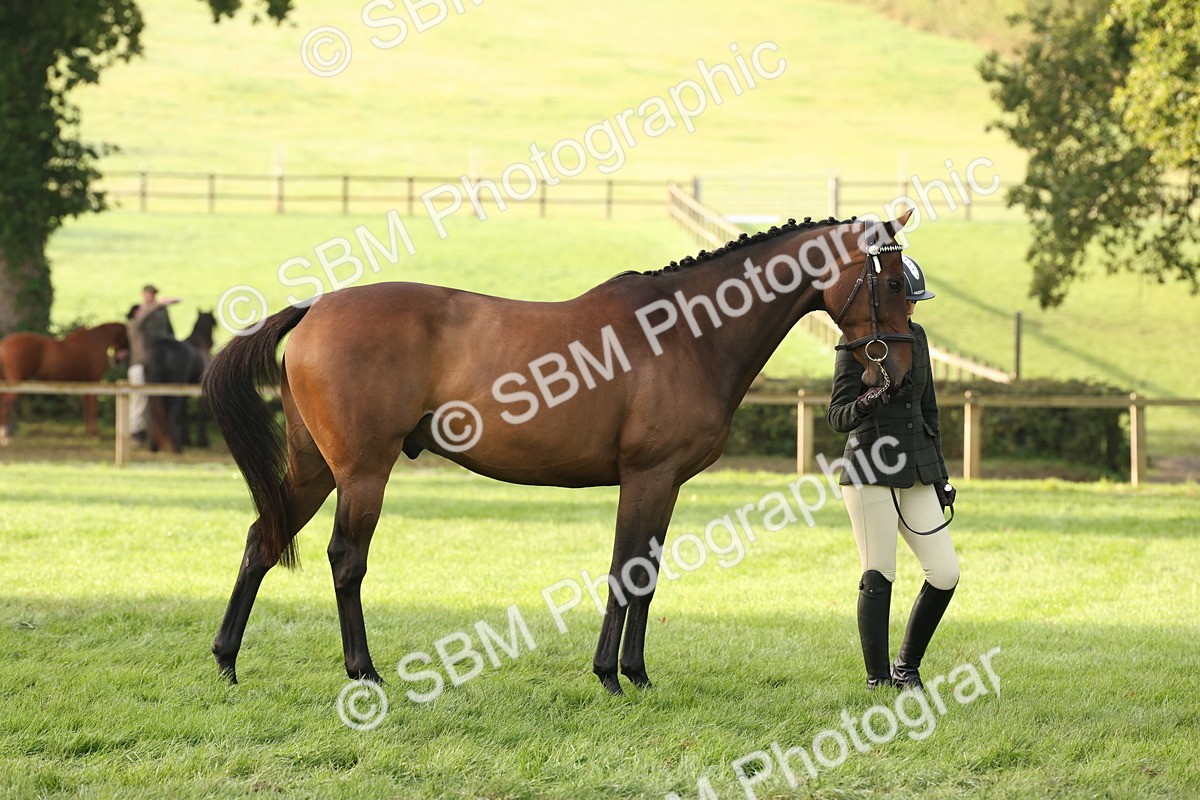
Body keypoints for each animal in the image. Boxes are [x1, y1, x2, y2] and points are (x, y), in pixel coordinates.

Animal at [0, 322, 129, 445]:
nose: (119, 360)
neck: (97, 341)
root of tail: (3, 345)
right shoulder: (94, 382)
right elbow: (92, 408)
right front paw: (94, 434)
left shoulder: (85, 385)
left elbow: (87, 408)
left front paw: (89, 433)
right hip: (15, 384)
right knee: (5, 405)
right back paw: (5, 437)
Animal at [145, 310, 216, 453]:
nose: (213, 342)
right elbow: (198, 413)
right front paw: (201, 442)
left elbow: (185, 413)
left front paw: (187, 440)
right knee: (174, 412)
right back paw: (176, 447)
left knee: (152, 412)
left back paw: (154, 445)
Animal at [203, 212, 916, 693]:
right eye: (888, 281)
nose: (902, 372)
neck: (688, 332)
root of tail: (314, 306)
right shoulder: (647, 477)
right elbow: (627, 570)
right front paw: (610, 675)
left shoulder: (668, 485)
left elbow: (647, 574)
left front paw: (637, 673)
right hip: (362, 473)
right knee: (346, 560)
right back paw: (364, 671)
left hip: (314, 470)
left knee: (262, 539)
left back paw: (228, 660)